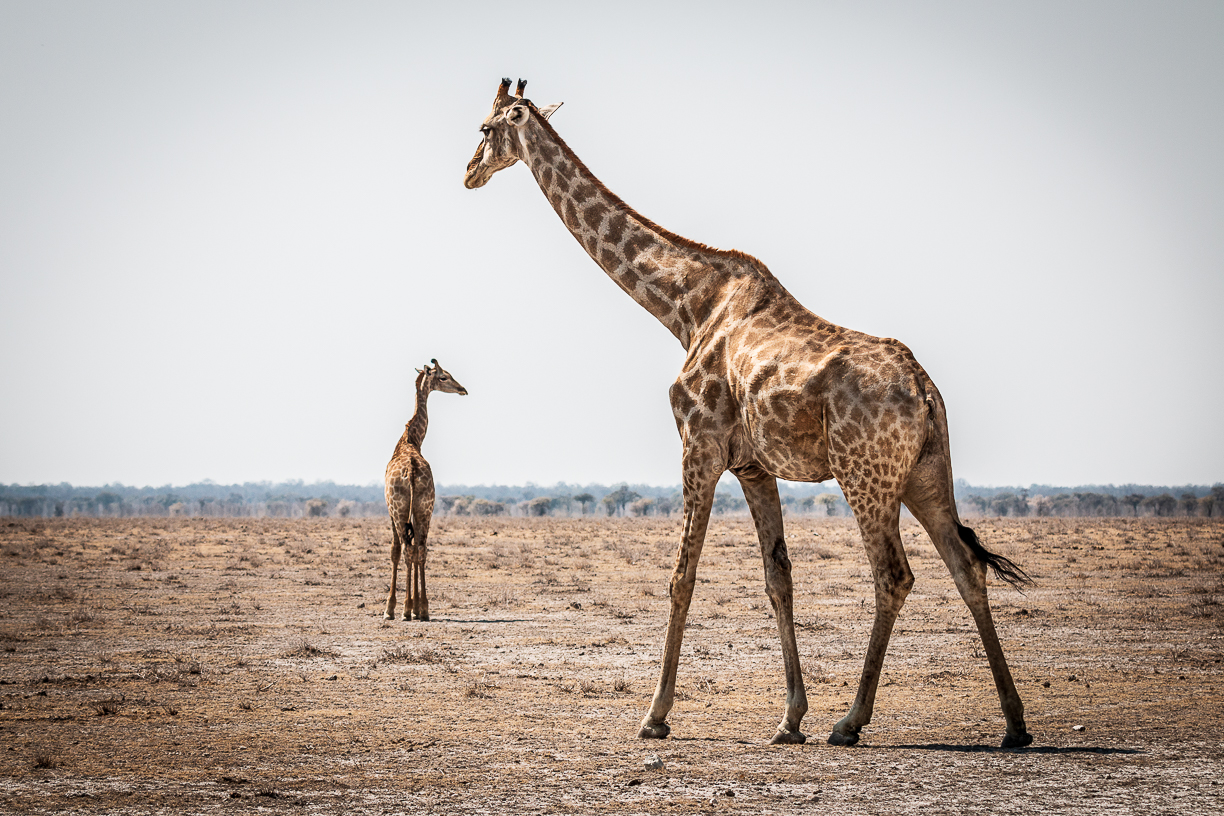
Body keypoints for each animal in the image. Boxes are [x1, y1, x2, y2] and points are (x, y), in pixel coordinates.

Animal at [384, 359, 468, 622]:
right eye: (444, 377)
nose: (463, 389)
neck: (410, 440)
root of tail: (411, 471)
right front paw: (415, 607)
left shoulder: (390, 510)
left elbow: (395, 551)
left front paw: (393, 608)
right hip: (425, 508)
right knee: (421, 549)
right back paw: (423, 609)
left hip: (401, 508)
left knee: (408, 549)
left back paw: (403, 609)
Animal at [464, 79, 1033, 748]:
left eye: (485, 128)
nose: (468, 172)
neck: (686, 307)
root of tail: (923, 388)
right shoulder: (755, 467)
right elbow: (777, 579)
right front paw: (789, 718)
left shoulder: (699, 445)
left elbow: (682, 575)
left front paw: (655, 715)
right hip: (926, 472)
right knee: (966, 567)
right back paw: (1014, 725)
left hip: (865, 474)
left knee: (894, 575)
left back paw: (851, 721)